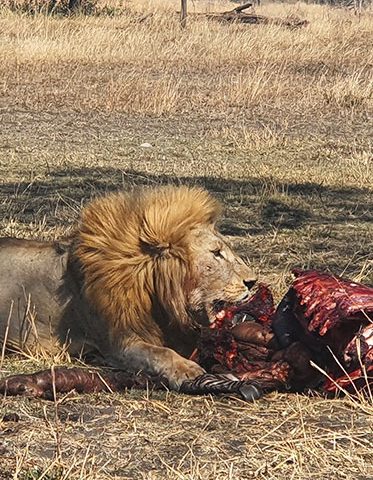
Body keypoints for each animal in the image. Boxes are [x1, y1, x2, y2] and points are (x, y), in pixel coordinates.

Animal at [0, 186, 256, 388]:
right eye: (216, 253)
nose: (252, 282)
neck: (155, 293)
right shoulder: (119, 342)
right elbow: (160, 353)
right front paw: (188, 370)